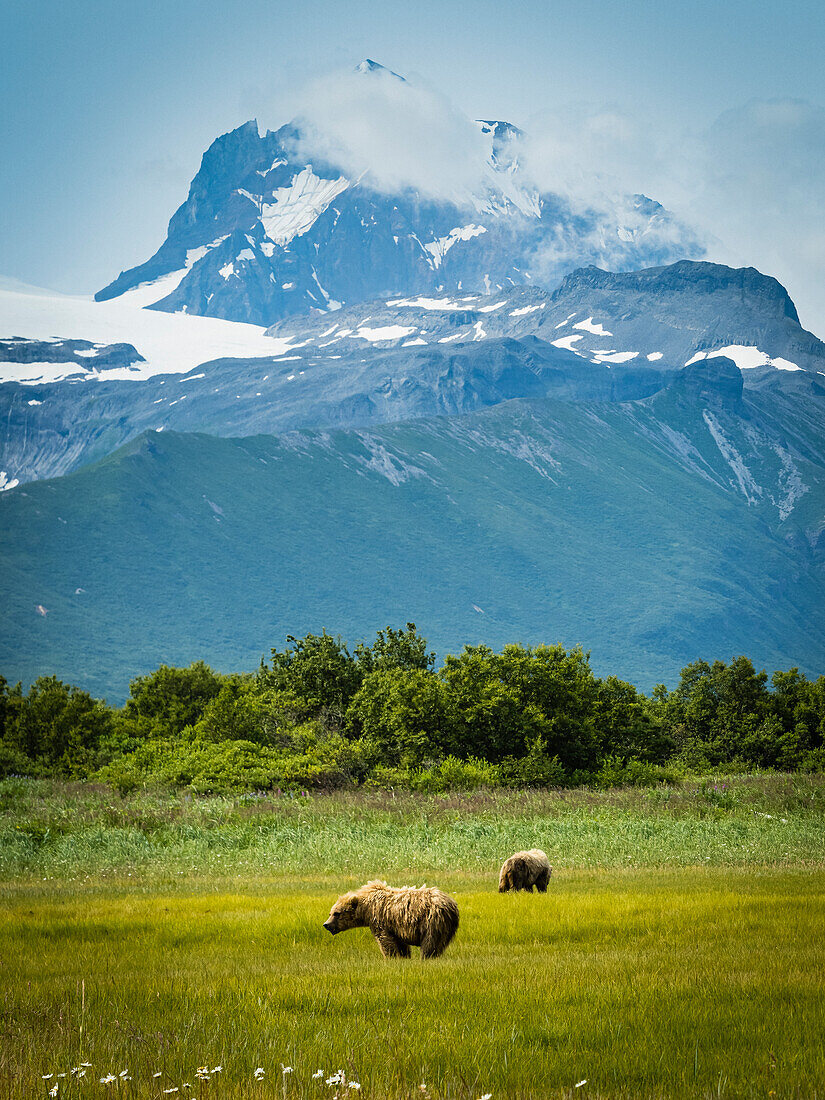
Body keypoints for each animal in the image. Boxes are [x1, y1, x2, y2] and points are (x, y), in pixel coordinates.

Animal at [323, 880, 462, 959]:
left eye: (337, 913)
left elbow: (385, 941)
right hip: (447, 926)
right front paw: (404, 957)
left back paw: (426, 957)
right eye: (330, 912)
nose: (326, 924)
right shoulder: (396, 927)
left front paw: (391, 957)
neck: (366, 908)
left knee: (430, 942)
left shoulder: (379, 920)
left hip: (432, 920)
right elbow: (400, 943)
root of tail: (451, 903)